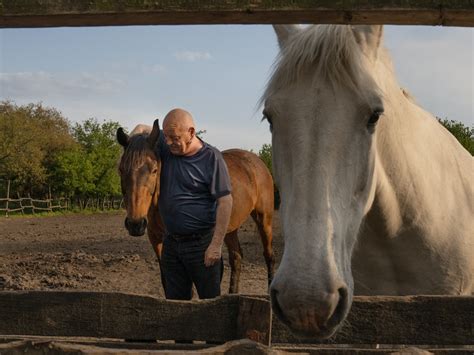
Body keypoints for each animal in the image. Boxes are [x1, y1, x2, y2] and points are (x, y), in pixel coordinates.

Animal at [116, 119, 276, 294]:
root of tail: (257, 162)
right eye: (121, 169)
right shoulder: (156, 239)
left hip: (264, 219)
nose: (135, 224)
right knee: (236, 257)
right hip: (229, 228)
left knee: (269, 255)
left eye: (154, 170)